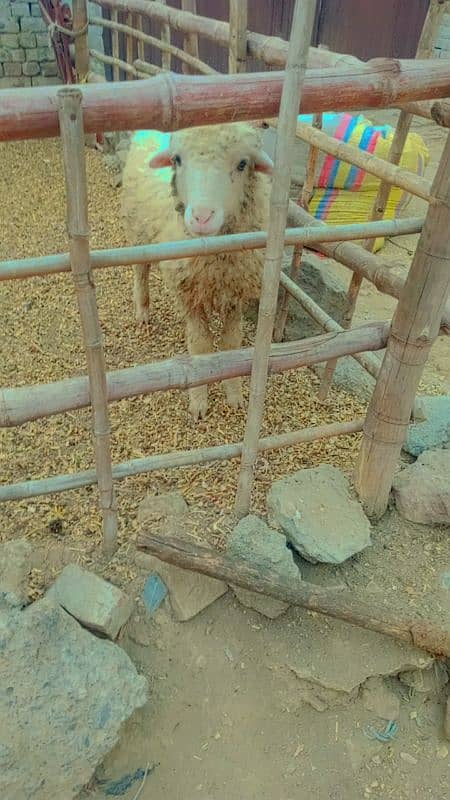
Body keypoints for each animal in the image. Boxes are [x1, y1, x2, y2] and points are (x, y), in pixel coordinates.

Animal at [119, 122, 272, 422]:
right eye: (177, 160)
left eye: (242, 164)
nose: (201, 217)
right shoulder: (189, 293)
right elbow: (201, 346)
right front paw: (199, 402)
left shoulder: (235, 293)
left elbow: (231, 345)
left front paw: (234, 395)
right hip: (138, 228)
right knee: (141, 269)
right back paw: (142, 311)